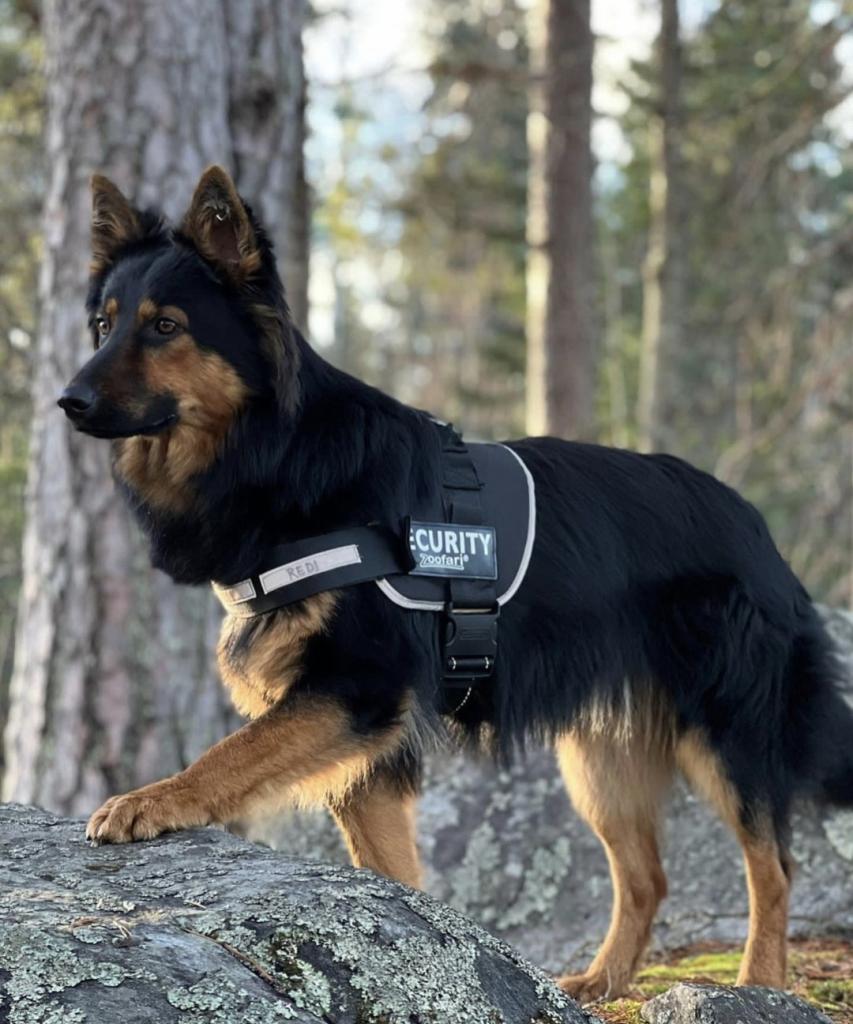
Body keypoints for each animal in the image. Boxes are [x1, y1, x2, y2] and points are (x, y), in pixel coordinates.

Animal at [59, 166, 853, 1003]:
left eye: (165, 326)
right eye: (103, 325)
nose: (68, 402)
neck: (284, 450)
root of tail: (754, 524)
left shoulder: (356, 692)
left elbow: (228, 754)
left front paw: (156, 798)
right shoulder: (365, 749)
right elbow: (394, 875)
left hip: (727, 737)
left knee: (772, 864)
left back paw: (759, 983)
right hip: (599, 760)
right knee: (647, 877)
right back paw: (600, 983)